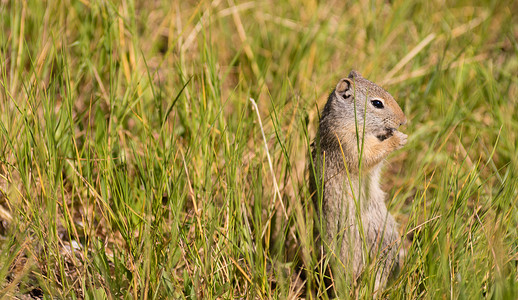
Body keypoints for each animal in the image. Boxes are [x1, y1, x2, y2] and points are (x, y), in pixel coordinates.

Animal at [310, 69, 408, 290]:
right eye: (377, 103)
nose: (403, 121)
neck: (346, 120)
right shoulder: (348, 142)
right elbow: (370, 154)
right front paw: (399, 138)